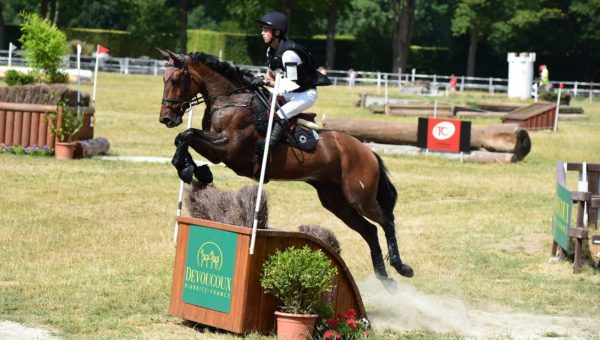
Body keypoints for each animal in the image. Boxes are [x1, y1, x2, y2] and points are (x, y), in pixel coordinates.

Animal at [157, 48, 414, 286]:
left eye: (176, 80)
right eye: (164, 79)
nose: (166, 119)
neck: (231, 101)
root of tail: (369, 152)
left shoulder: (229, 149)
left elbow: (187, 135)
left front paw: (190, 169)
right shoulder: (218, 149)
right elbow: (184, 139)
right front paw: (195, 170)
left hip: (359, 197)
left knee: (386, 220)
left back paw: (402, 267)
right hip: (335, 200)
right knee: (369, 230)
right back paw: (385, 278)